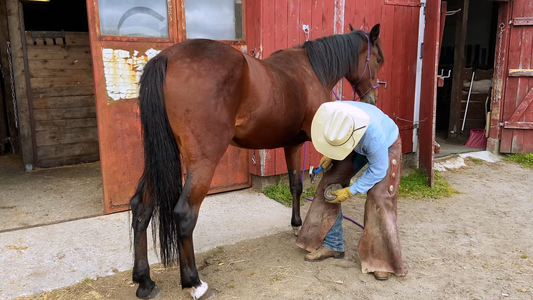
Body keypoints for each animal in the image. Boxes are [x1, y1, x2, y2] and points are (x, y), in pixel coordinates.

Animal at [131, 24, 384, 300]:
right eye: (378, 60)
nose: (373, 99)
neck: (311, 70)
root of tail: (167, 57)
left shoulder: (293, 144)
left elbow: (295, 185)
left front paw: (296, 225)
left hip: (159, 159)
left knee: (141, 208)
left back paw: (145, 281)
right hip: (202, 162)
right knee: (185, 214)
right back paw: (195, 283)